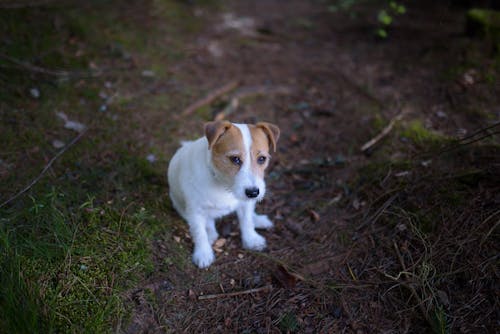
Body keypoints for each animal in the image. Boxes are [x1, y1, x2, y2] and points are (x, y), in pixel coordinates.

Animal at [167, 121, 278, 268]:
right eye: (235, 159)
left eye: (262, 159)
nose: (253, 193)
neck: (224, 186)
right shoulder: (195, 211)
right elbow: (199, 233)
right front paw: (203, 253)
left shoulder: (245, 204)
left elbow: (247, 221)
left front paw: (251, 239)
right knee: (207, 223)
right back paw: (210, 232)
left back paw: (258, 220)